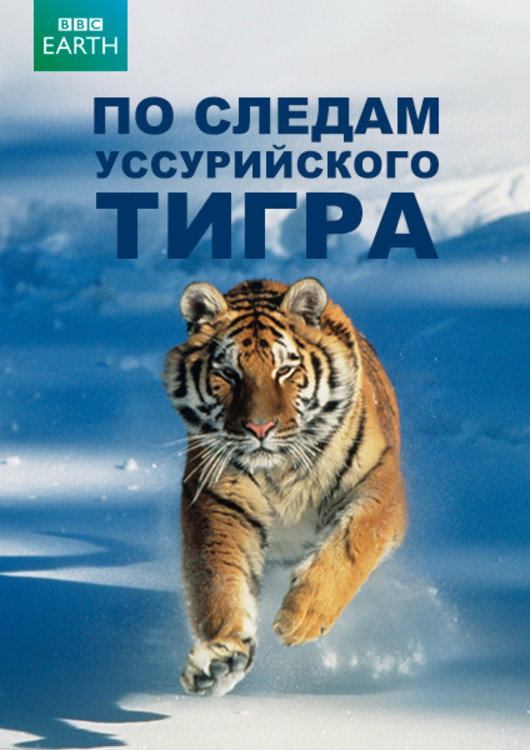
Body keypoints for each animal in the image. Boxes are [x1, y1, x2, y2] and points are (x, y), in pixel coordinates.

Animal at [163, 277, 406, 696]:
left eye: (285, 370)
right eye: (229, 373)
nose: (259, 428)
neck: (281, 471)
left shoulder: (380, 484)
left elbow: (354, 544)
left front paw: (302, 616)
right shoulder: (219, 503)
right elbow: (219, 582)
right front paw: (220, 660)